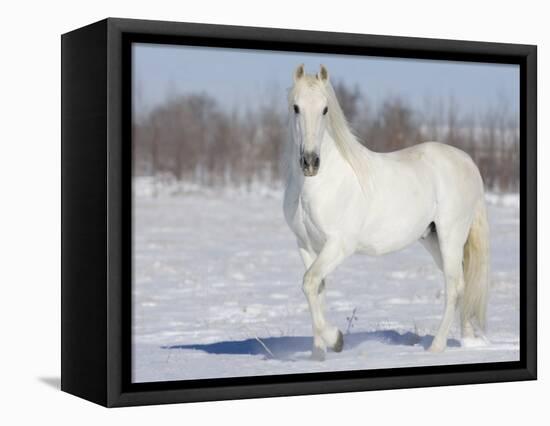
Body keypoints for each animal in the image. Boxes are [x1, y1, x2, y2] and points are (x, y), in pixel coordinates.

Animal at [284, 65, 492, 362]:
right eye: (296, 107)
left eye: (325, 109)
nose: (310, 162)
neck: (319, 184)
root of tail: (468, 161)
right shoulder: (306, 245)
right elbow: (317, 291)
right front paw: (318, 356)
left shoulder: (339, 245)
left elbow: (310, 283)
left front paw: (337, 341)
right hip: (433, 239)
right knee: (463, 282)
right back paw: (467, 341)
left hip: (451, 237)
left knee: (454, 286)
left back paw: (436, 347)